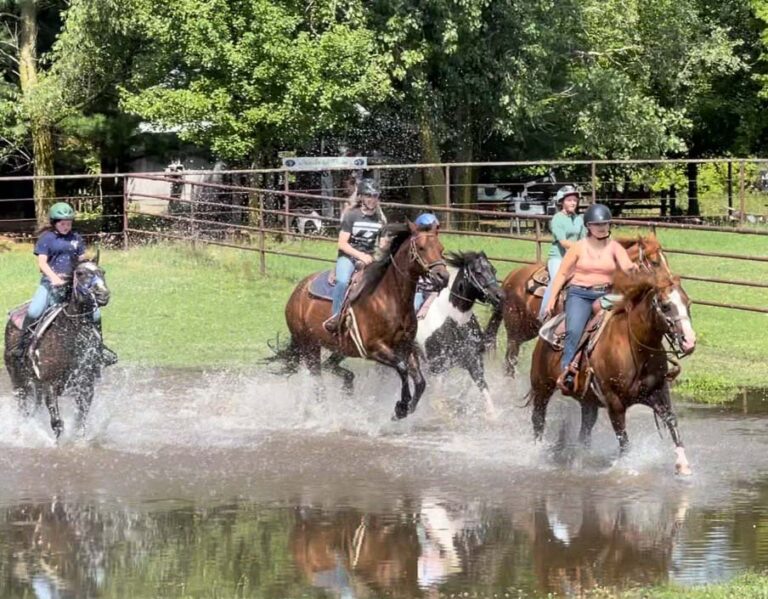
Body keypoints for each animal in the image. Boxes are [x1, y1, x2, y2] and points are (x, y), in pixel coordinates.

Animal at [4, 258, 111, 438]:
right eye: (80, 273)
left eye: (102, 272)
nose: (103, 295)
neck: (70, 336)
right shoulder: (50, 385)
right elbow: (57, 423)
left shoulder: (86, 386)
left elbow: (80, 422)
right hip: (19, 382)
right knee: (23, 408)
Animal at [277, 223, 450, 420]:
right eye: (421, 248)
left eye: (441, 248)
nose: (443, 277)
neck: (388, 299)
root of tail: (297, 292)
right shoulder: (374, 349)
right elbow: (402, 368)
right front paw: (401, 406)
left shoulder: (406, 346)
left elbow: (420, 381)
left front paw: (407, 408)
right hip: (309, 346)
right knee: (317, 379)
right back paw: (324, 412)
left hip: (337, 347)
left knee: (328, 369)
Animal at [415, 251, 504, 416]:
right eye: (478, 272)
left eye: (493, 270)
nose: (500, 296)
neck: (454, 322)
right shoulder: (437, 368)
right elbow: (439, 402)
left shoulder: (473, 361)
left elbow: (484, 392)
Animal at [484, 236, 670, 377]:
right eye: (655, 262)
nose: (669, 283)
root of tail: (510, 277)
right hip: (515, 333)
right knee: (510, 361)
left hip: (526, 331)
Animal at [526, 269, 696, 475]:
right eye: (665, 306)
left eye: (688, 303)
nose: (689, 341)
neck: (636, 349)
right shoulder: (614, 402)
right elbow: (623, 439)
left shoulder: (658, 391)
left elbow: (671, 421)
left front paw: (683, 465)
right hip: (542, 387)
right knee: (538, 419)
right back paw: (537, 452)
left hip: (588, 400)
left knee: (585, 429)